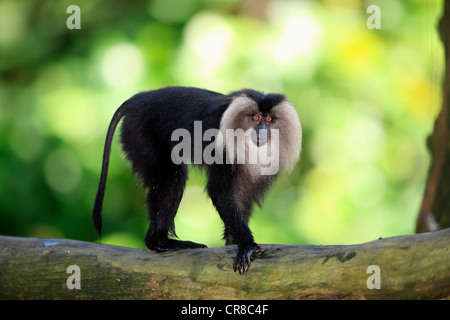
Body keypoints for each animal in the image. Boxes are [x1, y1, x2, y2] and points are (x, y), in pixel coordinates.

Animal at [91, 85, 302, 272]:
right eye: (256, 117)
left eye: (269, 119)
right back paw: (159, 242)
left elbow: (242, 199)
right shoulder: (222, 147)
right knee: (171, 178)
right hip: (139, 132)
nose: (263, 130)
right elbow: (220, 192)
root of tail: (139, 98)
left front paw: (232, 242)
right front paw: (247, 245)